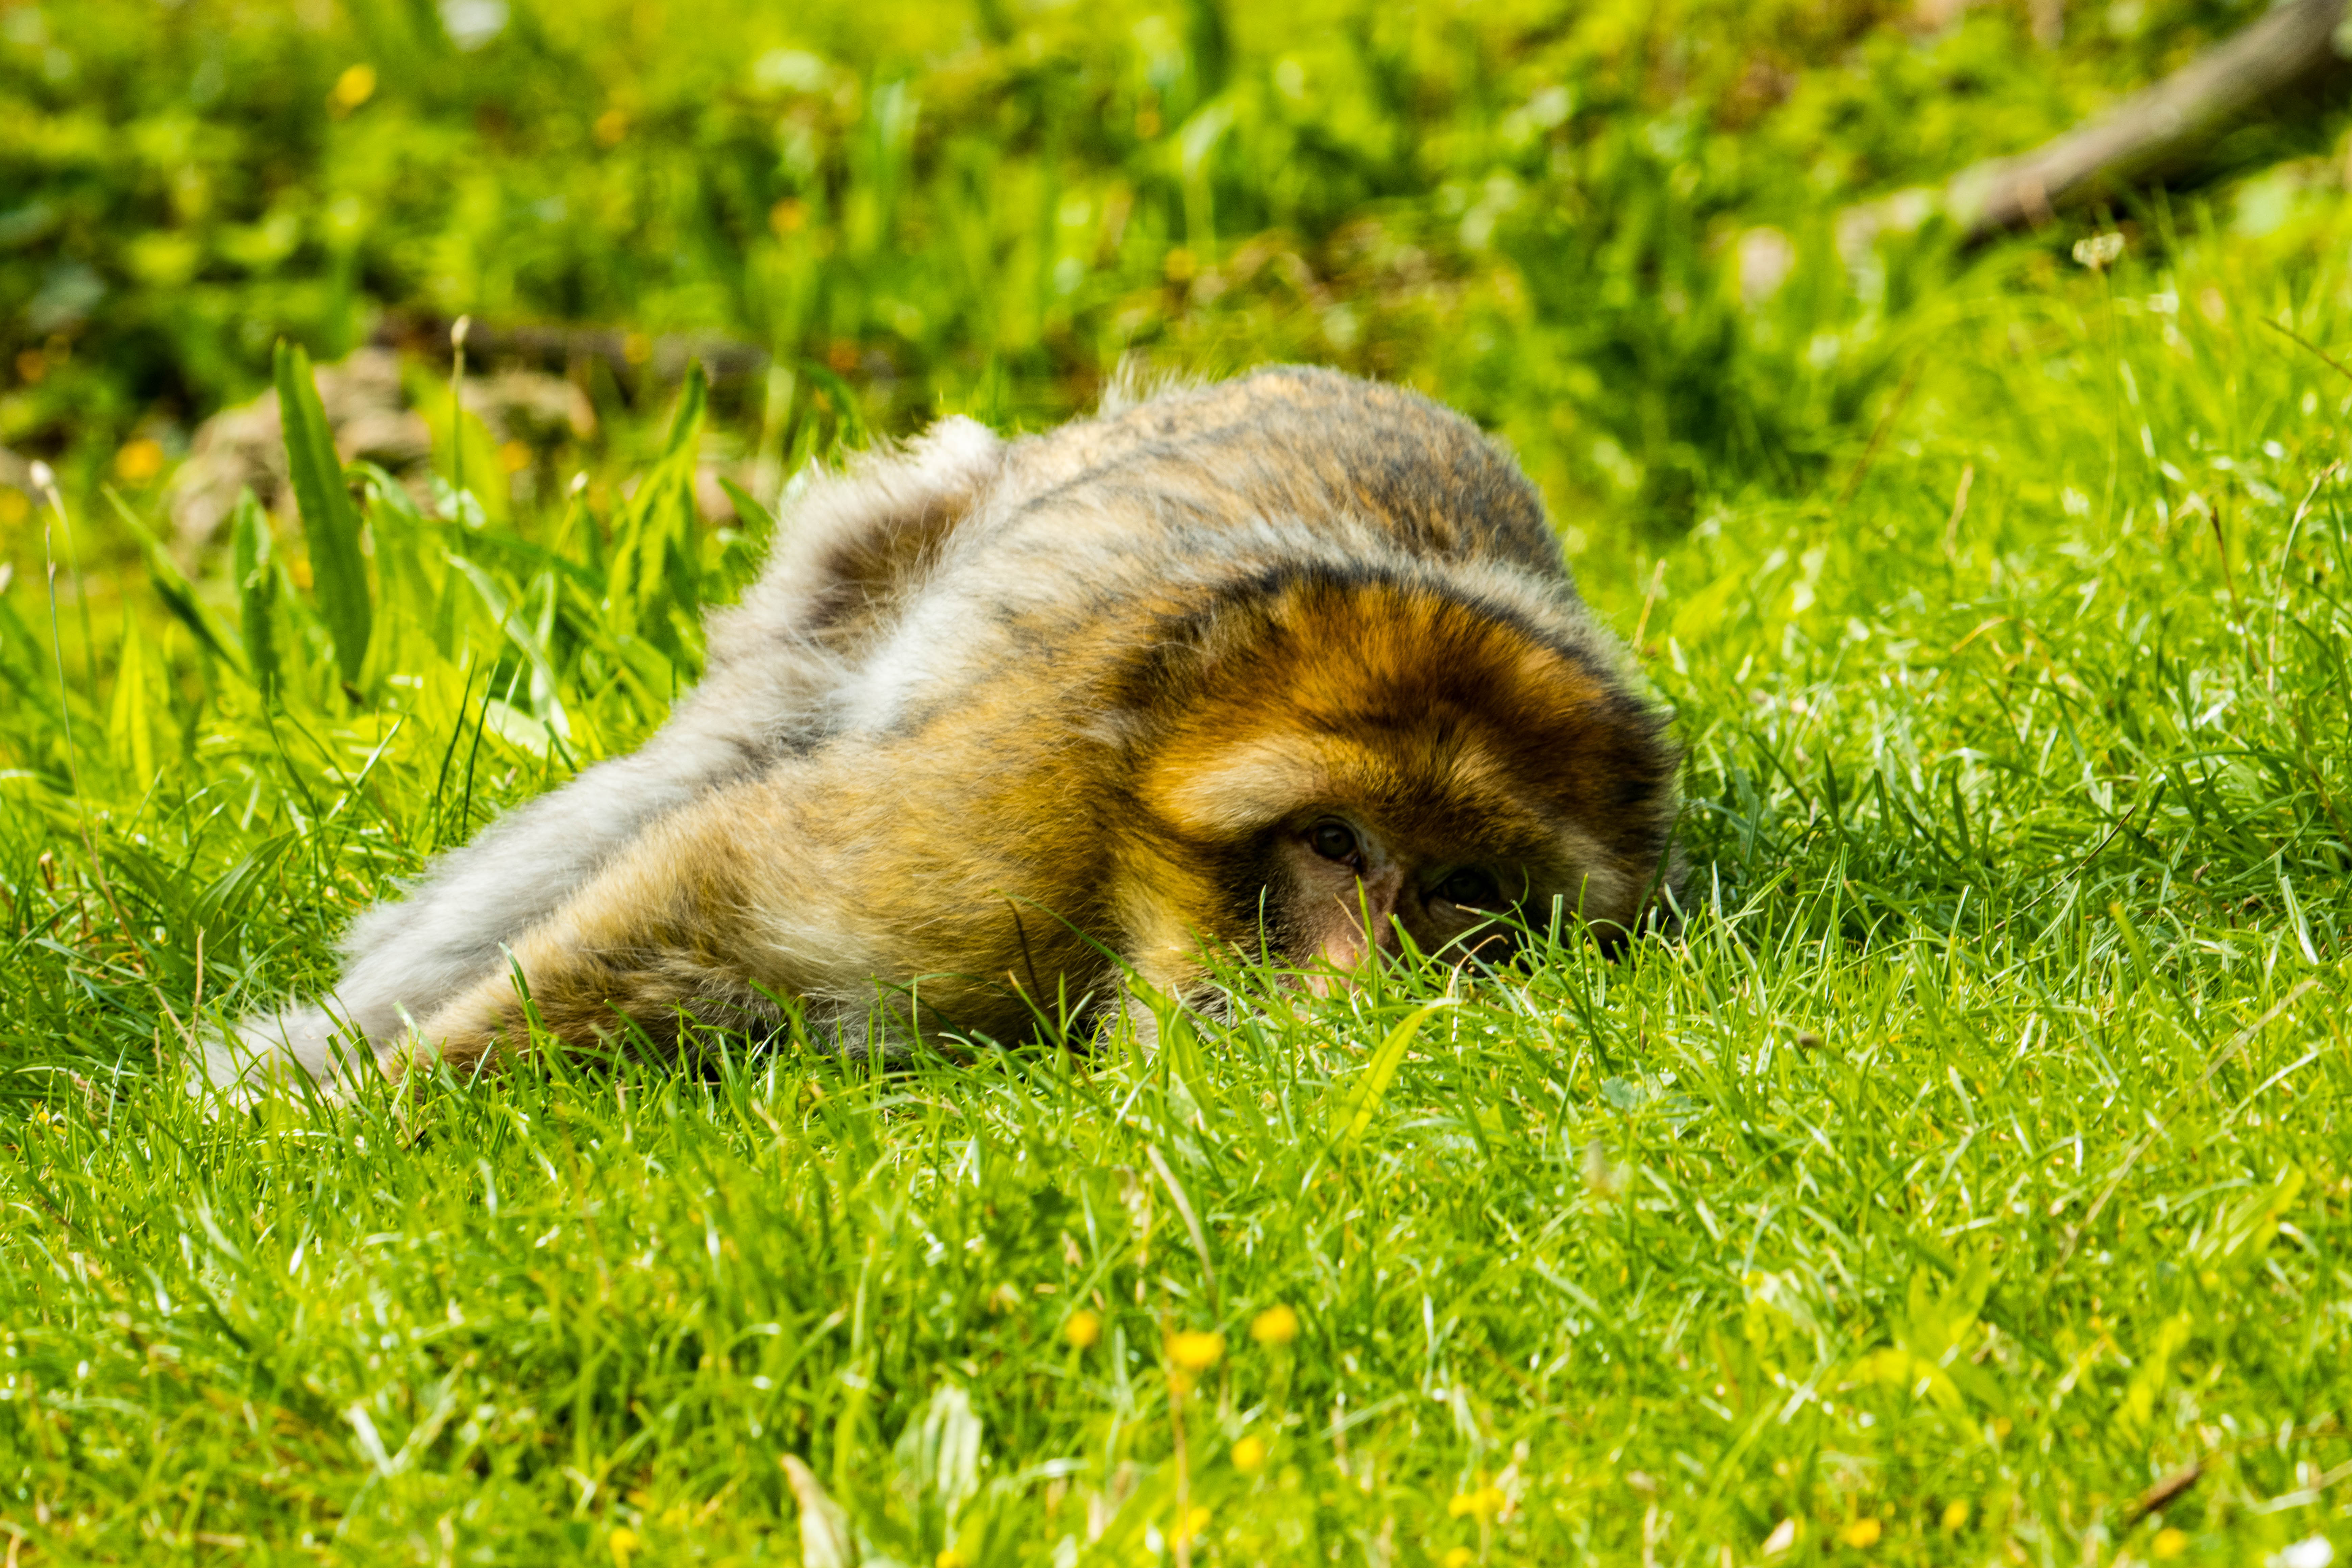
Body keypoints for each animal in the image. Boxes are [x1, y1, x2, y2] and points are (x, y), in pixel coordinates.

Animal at [229, 369, 1674, 1091]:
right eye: (1332, 842)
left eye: (1462, 890)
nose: (1357, 983)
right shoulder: (1011, 816)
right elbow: (715, 880)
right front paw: (335, 1118)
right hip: (874, 561)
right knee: (721, 758)